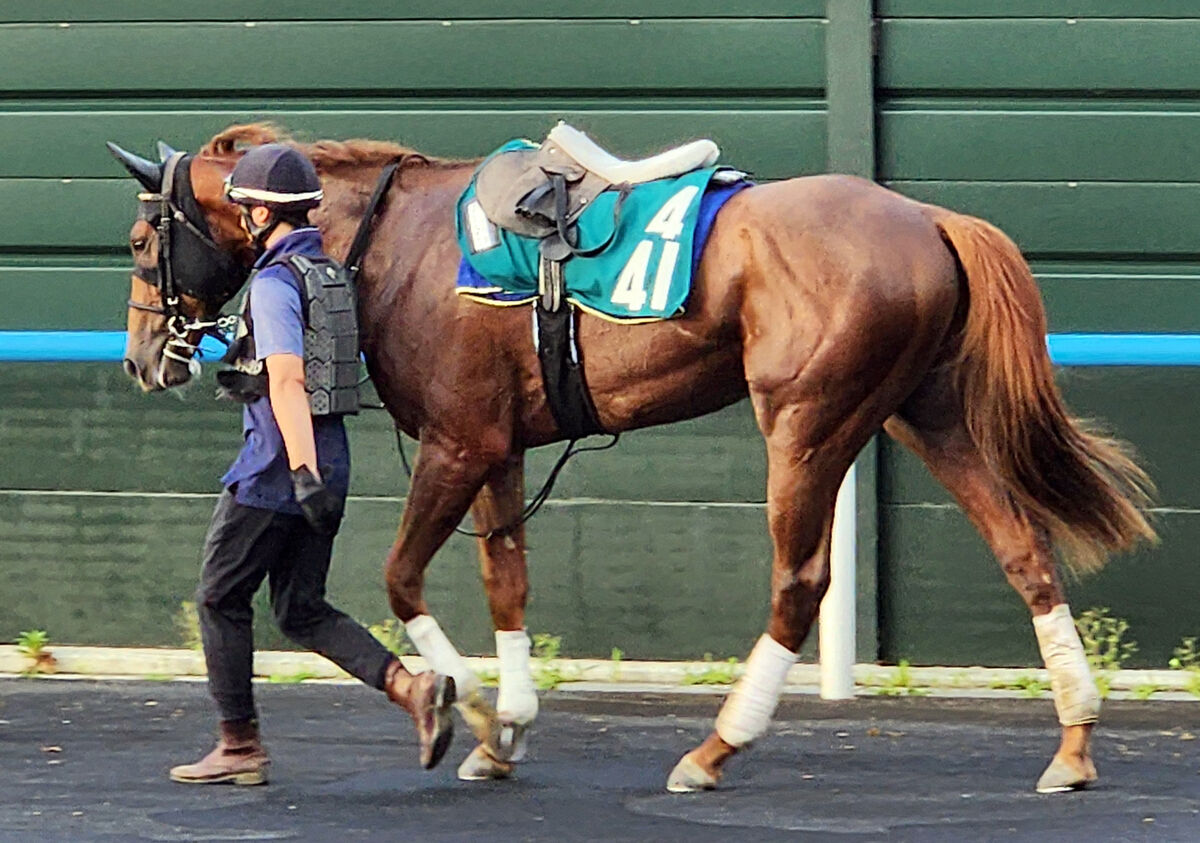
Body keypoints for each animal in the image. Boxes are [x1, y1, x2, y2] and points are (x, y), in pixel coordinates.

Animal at [112, 122, 1152, 797]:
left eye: (138, 239)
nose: (143, 359)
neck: (395, 241)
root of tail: (927, 219)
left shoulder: (457, 442)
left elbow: (403, 577)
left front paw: (469, 710)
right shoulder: (500, 446)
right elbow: (506, 581)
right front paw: (508, 727)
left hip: (809, 423)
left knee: (800, 580)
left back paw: (716, 748)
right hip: (922, 415)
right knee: (1022, 547)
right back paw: (1074, 741)